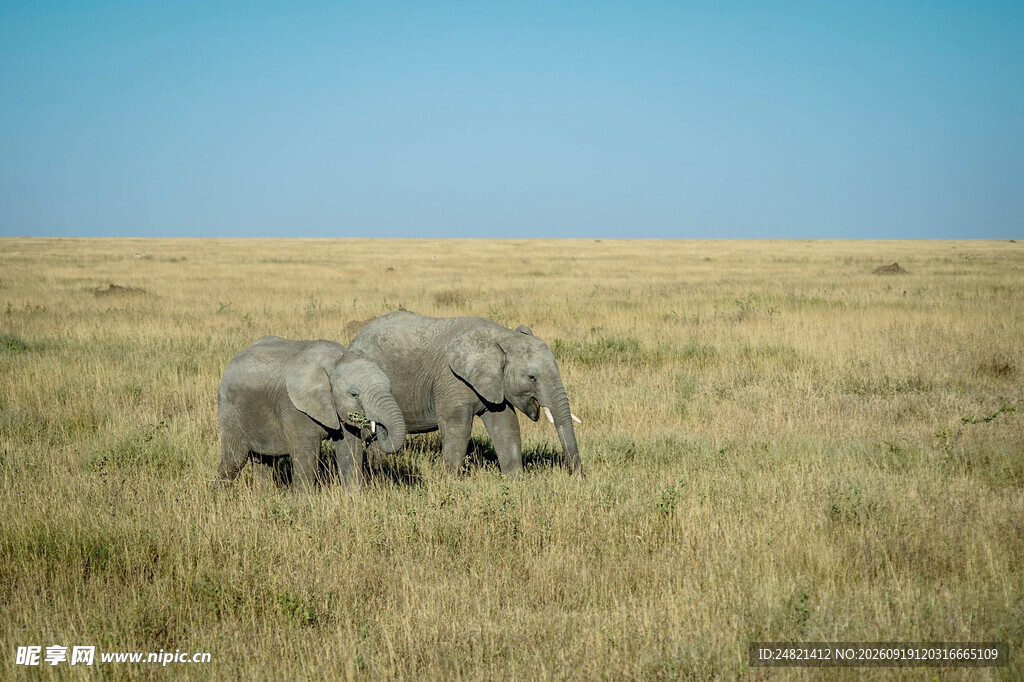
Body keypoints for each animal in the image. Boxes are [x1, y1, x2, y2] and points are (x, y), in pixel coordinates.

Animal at [216, 336, 407, 489]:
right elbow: (306, 455)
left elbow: (349, 450)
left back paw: (263, 494)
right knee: (234, 458)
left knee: (264, 460)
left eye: (390, 388)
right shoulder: (295, 408)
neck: (335, 360)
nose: (377, 427)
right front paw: (302, 504)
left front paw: (354, 498)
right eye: (354, 394)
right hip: (229, 409)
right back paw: (221, 495)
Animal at [348, 311, 582, 478]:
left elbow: (506, 426)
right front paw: (449, 482)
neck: (503, 337)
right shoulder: (451, 379)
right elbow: (457, 427)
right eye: (532, 377)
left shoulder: (494, 383)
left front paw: (515, 480)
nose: (579, 477)